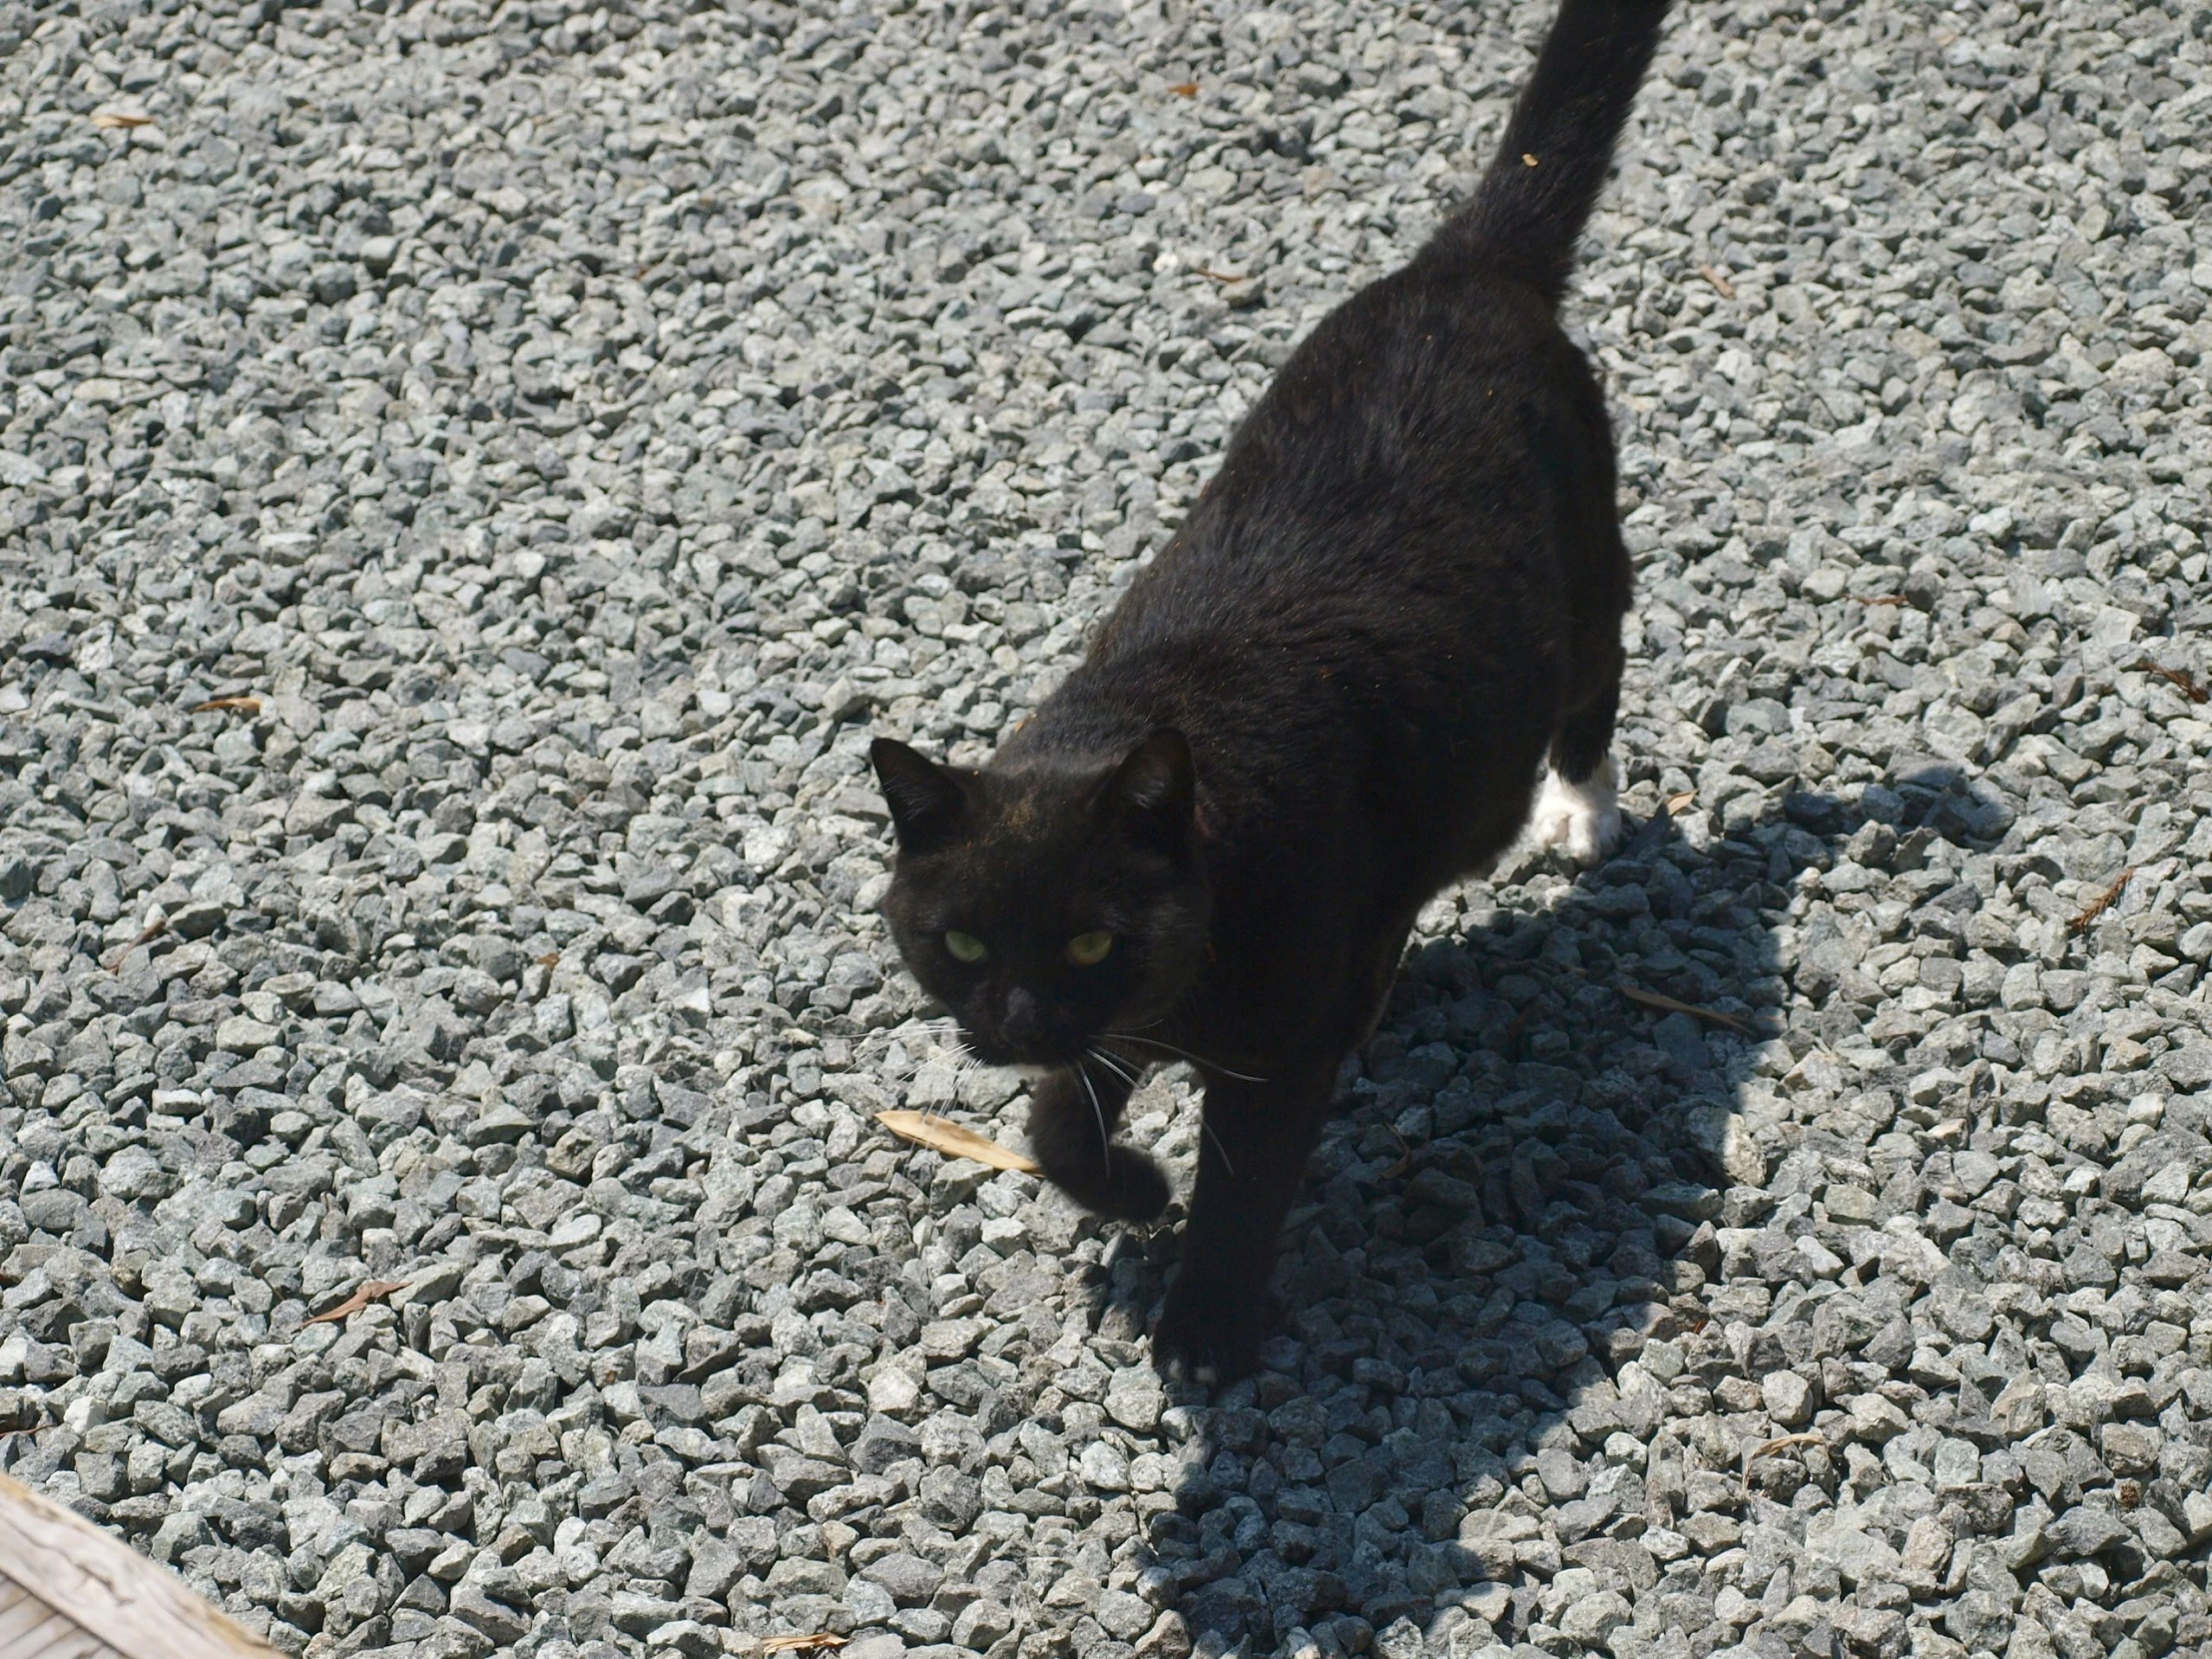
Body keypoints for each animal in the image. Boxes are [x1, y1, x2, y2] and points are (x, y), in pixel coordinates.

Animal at [871, 0, 1663, 1380]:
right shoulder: (1119, 1021)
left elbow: (1244, 1186)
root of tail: (1461, 270)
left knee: (1595, 673)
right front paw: (1127, 1187)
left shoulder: (1262, 1038)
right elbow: (1055, 1123)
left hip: (1580, 563)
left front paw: (1204, 1327)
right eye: (959, 940)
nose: (1014, 1016)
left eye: (1089, 937)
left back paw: (1576, 808)